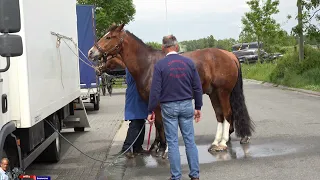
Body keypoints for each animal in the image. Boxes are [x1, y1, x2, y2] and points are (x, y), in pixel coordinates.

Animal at [87, 23, 255, 158]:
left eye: (109, 37)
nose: (91, 52)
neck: (148, 65)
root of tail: (230, 55)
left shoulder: (158, 104)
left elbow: (161, 125)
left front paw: (162, 149)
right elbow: (158, 124)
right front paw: (159, 147)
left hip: (223, 92)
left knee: (227, 114)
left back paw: (223, 143)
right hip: (213, 93)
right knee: (220, 115)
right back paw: (215, 143)